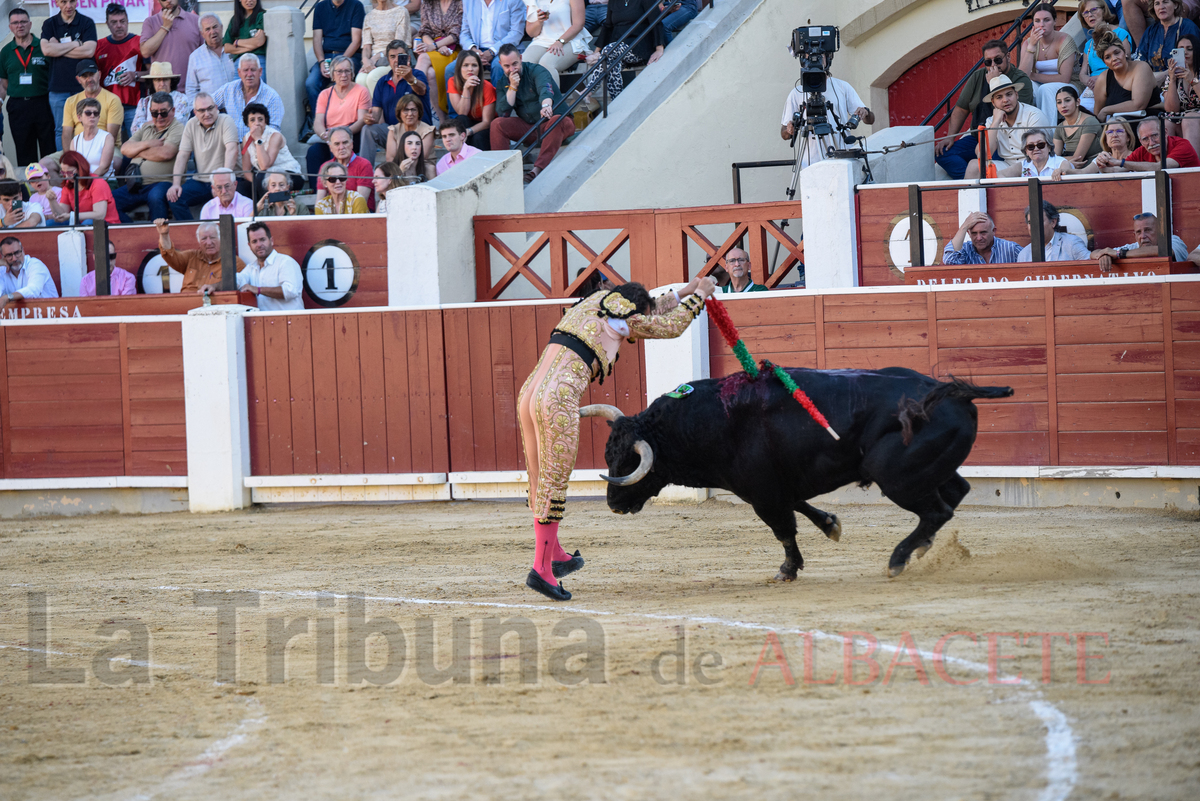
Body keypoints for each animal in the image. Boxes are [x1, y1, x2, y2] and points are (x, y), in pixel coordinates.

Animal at [580, 366, 1012, 577]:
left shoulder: (761, 491)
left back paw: (898, 559)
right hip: (931, 468)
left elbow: (783, 528)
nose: (613, 503)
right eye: (608, 453)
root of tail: (951, 392)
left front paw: (787, 570)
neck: (701, 421)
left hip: (895, 475)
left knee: (937, 510)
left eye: (629, 463)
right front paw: (831, 525)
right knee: (954, 494)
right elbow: (800, 507)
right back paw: (922, 549)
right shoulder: (776, 483)